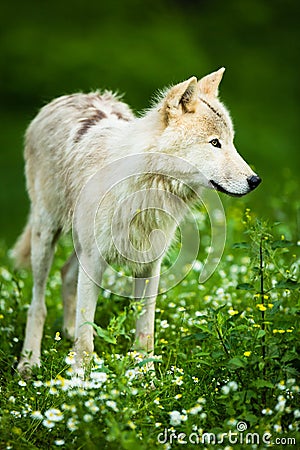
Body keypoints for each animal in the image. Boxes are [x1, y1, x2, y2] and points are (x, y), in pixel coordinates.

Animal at [12, 68, 260, 374]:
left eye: (231, 142)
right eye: (215, 143)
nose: (255, 180)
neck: (146, 187)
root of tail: (68, 97)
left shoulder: (150, 263)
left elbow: (146, 328)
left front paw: (146, 376)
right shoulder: (94, 260)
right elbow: (86, 337)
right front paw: (80, 378)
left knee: (67, 273)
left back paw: (65, 335)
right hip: (46, 236)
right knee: (37, 302)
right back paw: (29, 361)